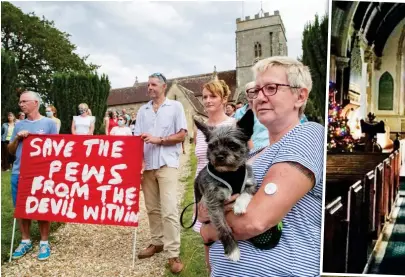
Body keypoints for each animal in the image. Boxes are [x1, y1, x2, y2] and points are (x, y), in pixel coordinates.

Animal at [193, 109, 256, 260]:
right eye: (212, 146)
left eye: (232, 145)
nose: (219, 156)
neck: (229, 173)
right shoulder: (213, 203)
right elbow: (222, 228)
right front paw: (232, 250)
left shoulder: (251, 183)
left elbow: (245, 192)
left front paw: (239, 205)